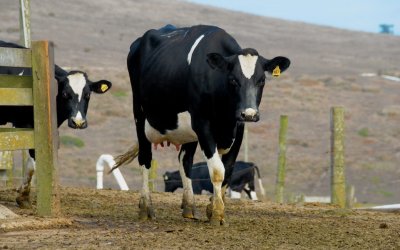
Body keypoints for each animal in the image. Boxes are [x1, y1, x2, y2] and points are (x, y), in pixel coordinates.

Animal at [0, 40, 112, 207]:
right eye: (65, 93)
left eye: (88, 95)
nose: (78, 122)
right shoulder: (28, 125)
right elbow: (34, 163)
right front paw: (24, 196)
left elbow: (30, 165)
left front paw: (23, 196)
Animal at [114, 24, 290, 226]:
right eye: (233, 79)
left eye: (261, 80)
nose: (250, 114)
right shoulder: (203, 124)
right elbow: (217, 170)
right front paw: (217, 214)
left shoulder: (237, 129)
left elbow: (227, 170)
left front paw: (212, 207)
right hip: (140, 116)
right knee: (145, 158)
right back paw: (146, 207)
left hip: (188, 132)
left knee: (185, 160)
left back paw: (189, 207)